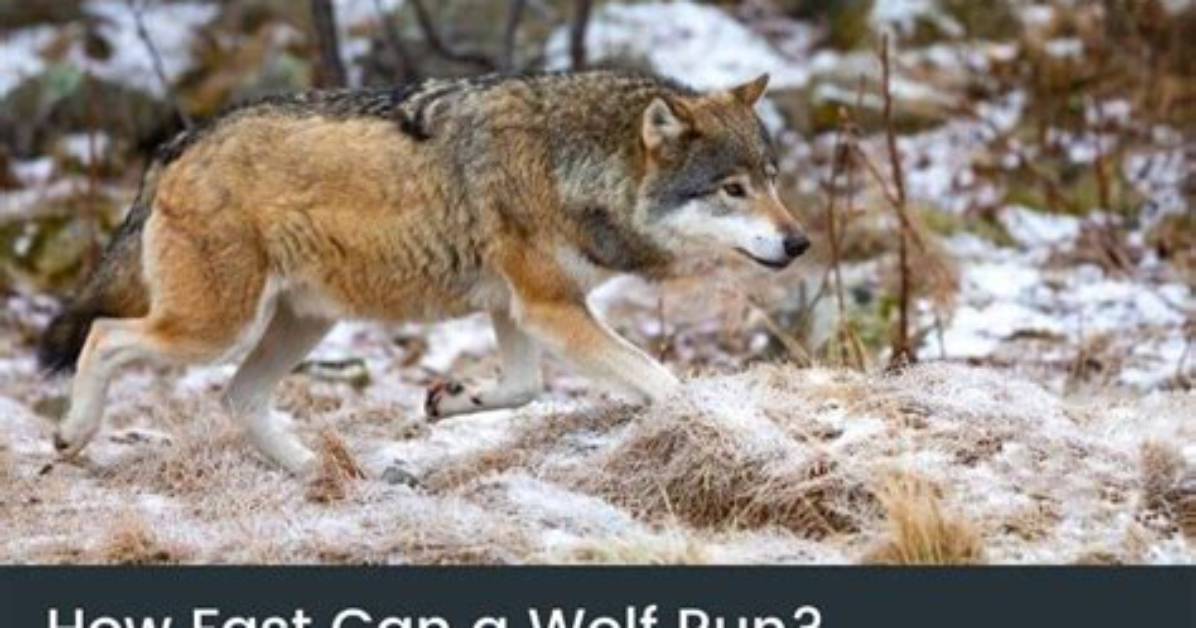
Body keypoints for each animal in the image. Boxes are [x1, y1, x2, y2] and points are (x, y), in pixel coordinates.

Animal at [38, 70, 810, 476]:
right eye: (732, 189)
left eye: (772, 179)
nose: (799, 241)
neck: (573, 165)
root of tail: (180, 142)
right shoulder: (549, 308)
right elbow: (661, 380)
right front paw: (713, 426)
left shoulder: (518, 308)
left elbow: (524, 388)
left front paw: (451, 399)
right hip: (215, 328)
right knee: (105, 335)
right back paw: (73, 434)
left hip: (303, 325)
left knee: (238, 397)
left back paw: (320, 472)